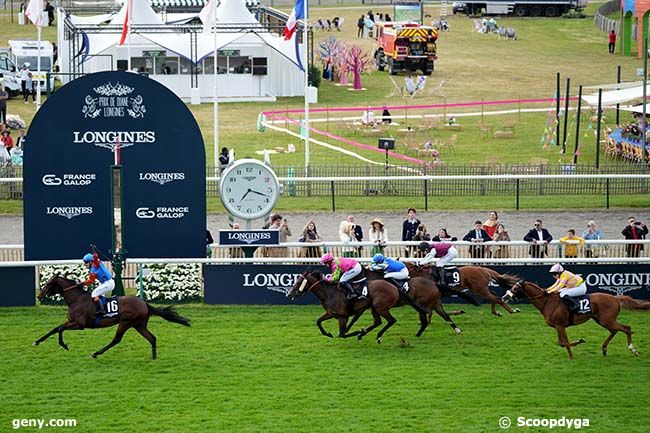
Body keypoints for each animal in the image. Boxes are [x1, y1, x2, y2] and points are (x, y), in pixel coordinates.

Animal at [33, 276, 190, 360]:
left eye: (48, 284)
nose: (39, 296)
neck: (77, 300)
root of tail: (144, 303)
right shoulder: (71, 321)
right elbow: (55, 329)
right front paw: (37, 341)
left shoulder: (79, 324)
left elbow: (60, 329)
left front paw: (64, 345)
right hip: (139, 325)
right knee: (152, 338)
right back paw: (154, 357)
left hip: (126, 322)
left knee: (116, 339)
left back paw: (96, 353)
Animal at [286, 268, 428, 342]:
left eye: (298, 282)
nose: (289, 294)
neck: (329, 293)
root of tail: (395, 287)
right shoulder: (331, 313)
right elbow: (318, 321)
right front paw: (328, 334)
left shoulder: (343, 316)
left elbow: (342, 334)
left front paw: (359, 331)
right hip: (374, 307)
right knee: (378, 322)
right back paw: (365, 334)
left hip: (380, 307)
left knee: (391, 320)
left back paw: (376, 336)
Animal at [504, 280, 648, 358]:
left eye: (516, 287)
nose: (505, 297)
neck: (547, 302)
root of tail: (616, 298)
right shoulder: (559, 326)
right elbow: (562, 342)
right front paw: (575, 349)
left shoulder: (560, 325)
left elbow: (563, 343)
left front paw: (575, 350)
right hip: (601, 320)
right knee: (615, 330)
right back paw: (604, 349)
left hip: (607, 320)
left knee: (626, 328)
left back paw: (633, 350)